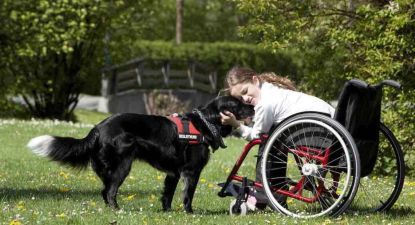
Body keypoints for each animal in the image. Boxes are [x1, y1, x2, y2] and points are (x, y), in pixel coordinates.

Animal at [27, 96, 254, 213]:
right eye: (238, 104)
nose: (253, 106)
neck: (204, 123)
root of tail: (99, 128)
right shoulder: (191, 171)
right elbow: (187, 195)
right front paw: (189, 213)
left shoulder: (173, 172)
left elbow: (167, 195)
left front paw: (167, 213)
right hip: (123, 164)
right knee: (110, 191)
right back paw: (118, 211)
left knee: (104, 190)